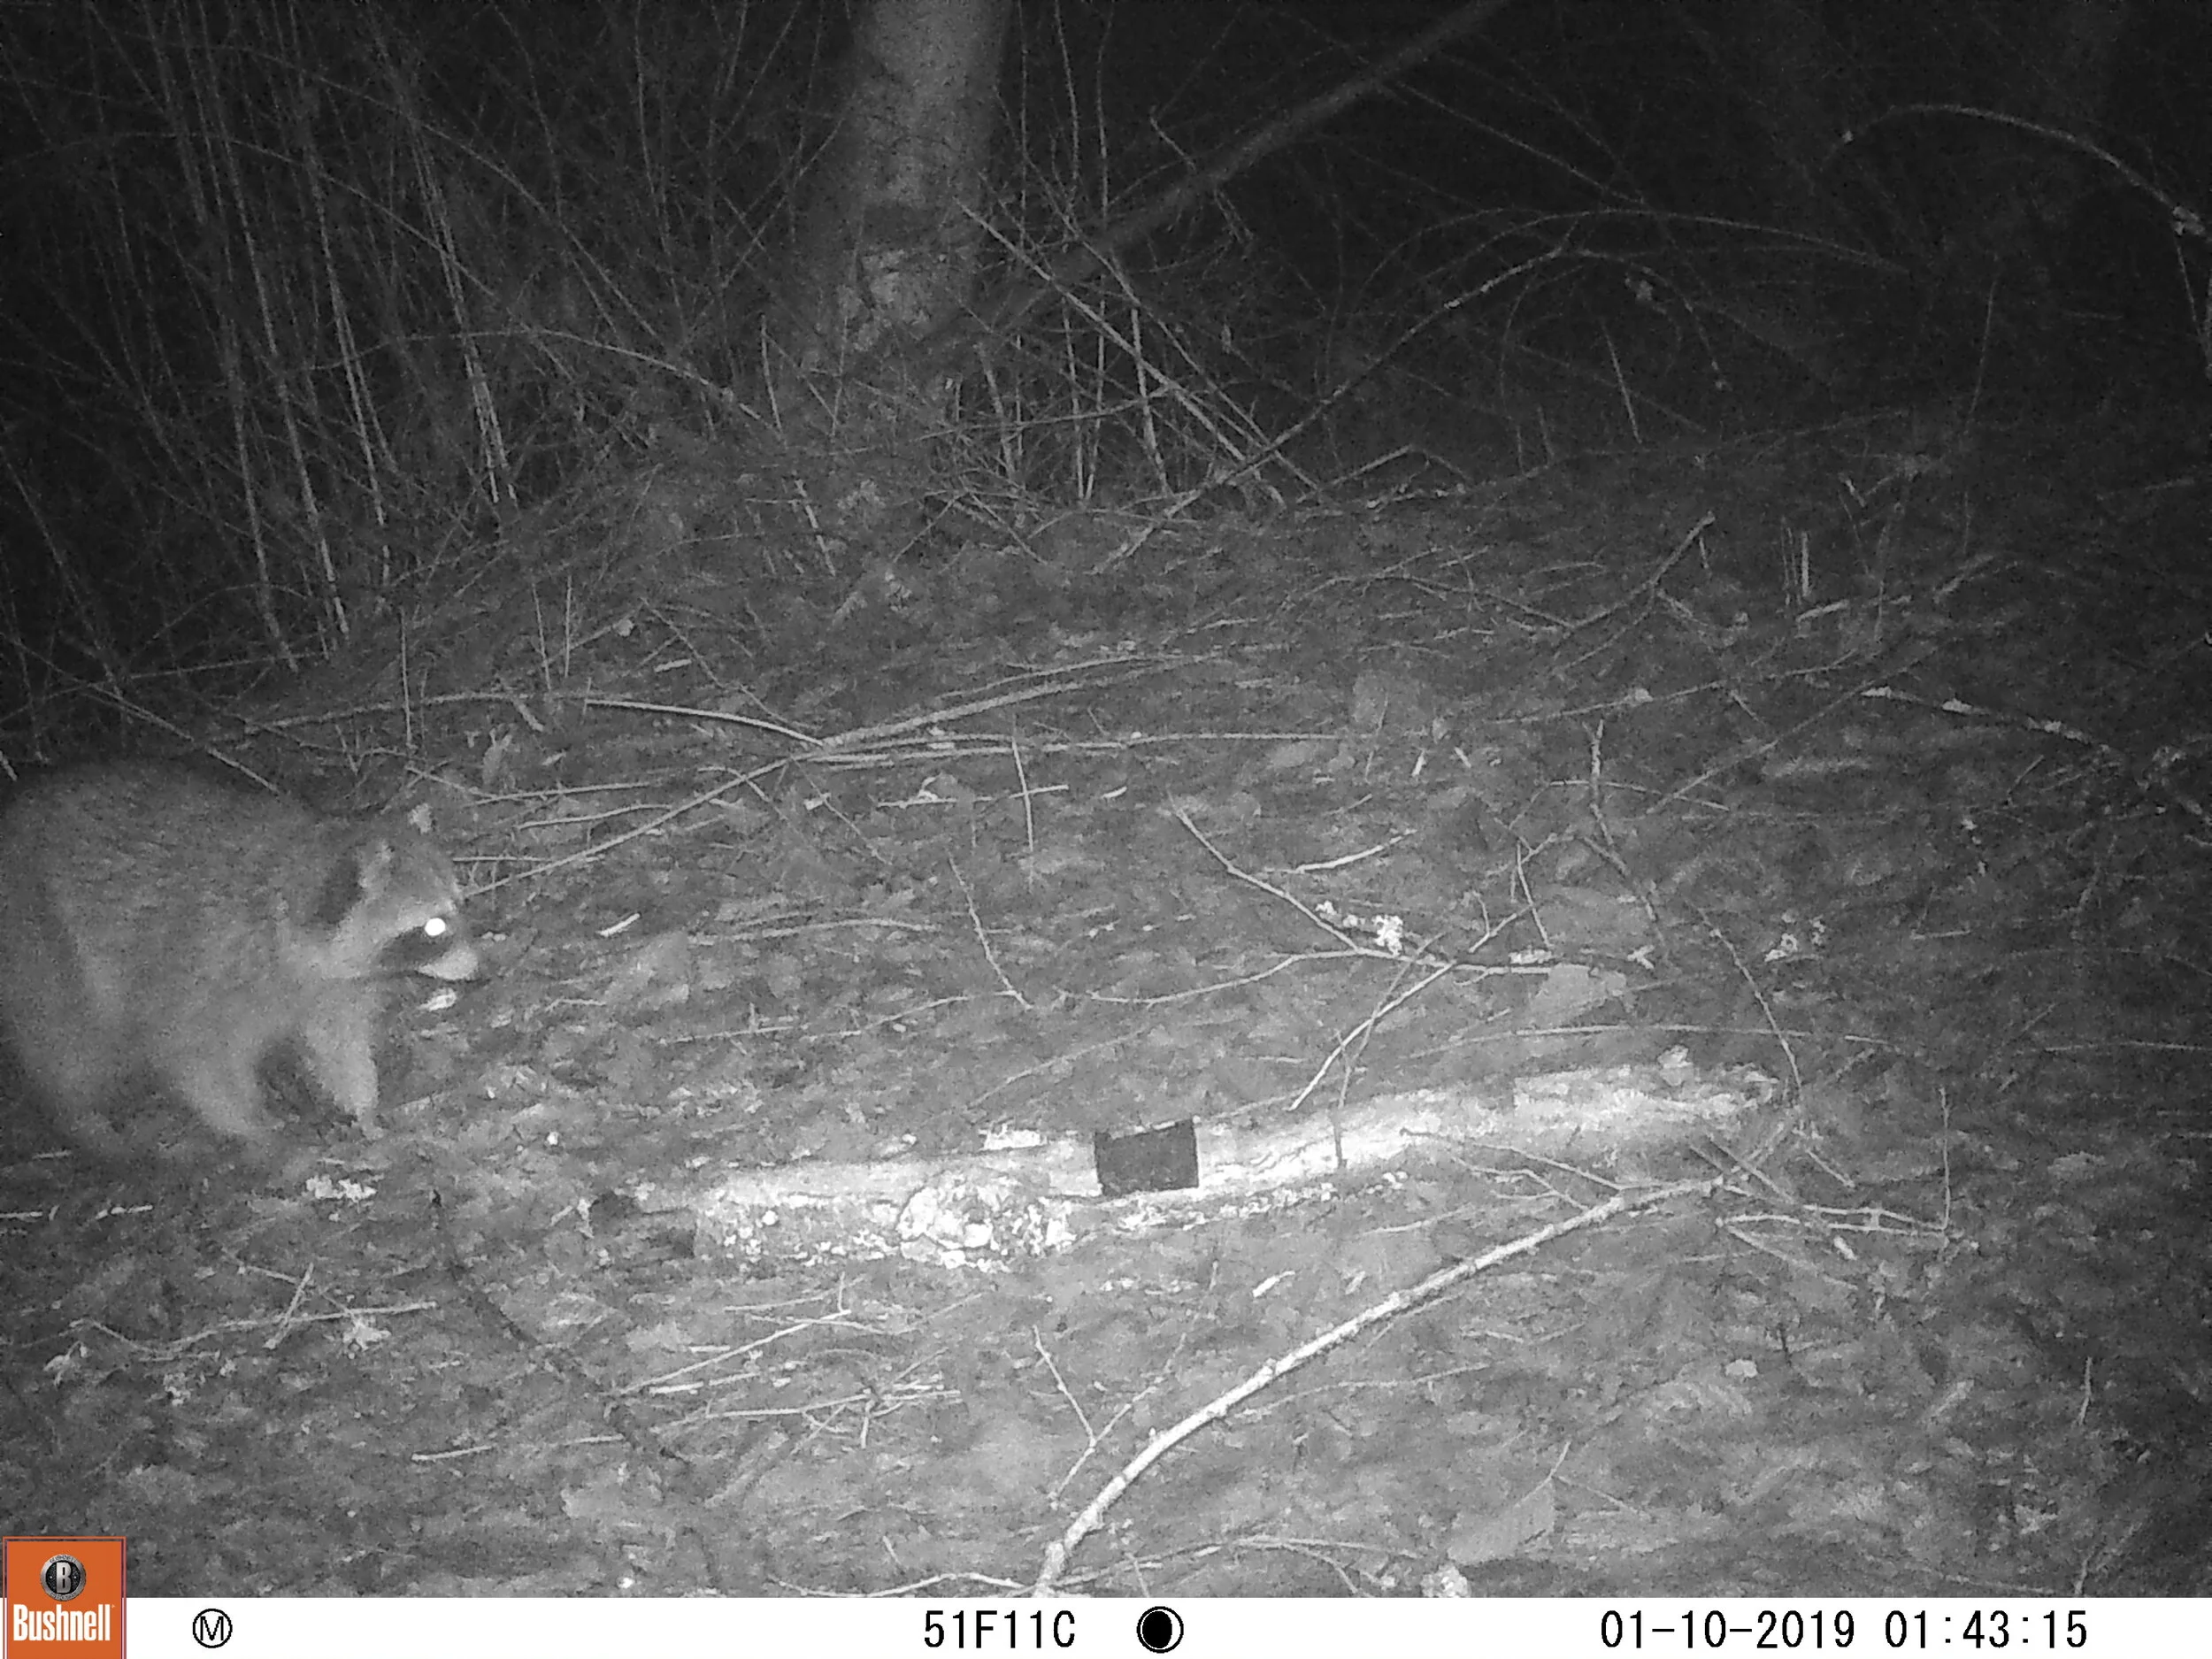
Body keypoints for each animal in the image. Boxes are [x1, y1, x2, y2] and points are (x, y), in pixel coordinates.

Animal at [0, 760, 479, 1162]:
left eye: (460, 903)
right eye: (433, 927)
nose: (479, 967)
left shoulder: (330, 987)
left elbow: (338, 1043)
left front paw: (363, 1106)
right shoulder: (201, 975)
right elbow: (197, 1060)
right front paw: (250, 1124)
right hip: (41, 943)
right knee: (67, 1045)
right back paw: (82, 1119)